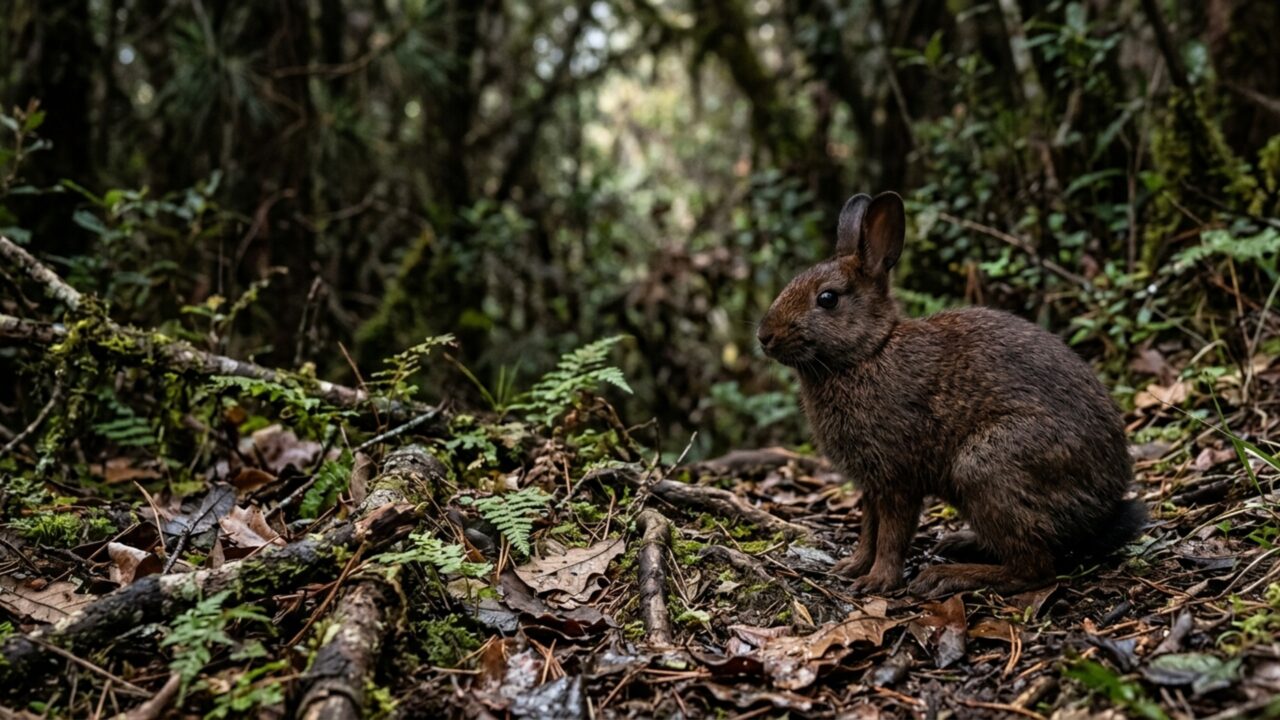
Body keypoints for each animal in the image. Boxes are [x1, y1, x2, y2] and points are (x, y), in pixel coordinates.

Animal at [756, 191, 1146, 596]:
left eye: (828, 299)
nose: (764, 336)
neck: (869, 352)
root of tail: (1104, 504)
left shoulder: (897, 477)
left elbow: (892, 533)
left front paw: (877, 581)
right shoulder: (871, 484)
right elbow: (869, 528)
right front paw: (851, 567)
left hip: (987, 467)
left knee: (1033, 569)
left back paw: (947, 575)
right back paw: (959, 544)